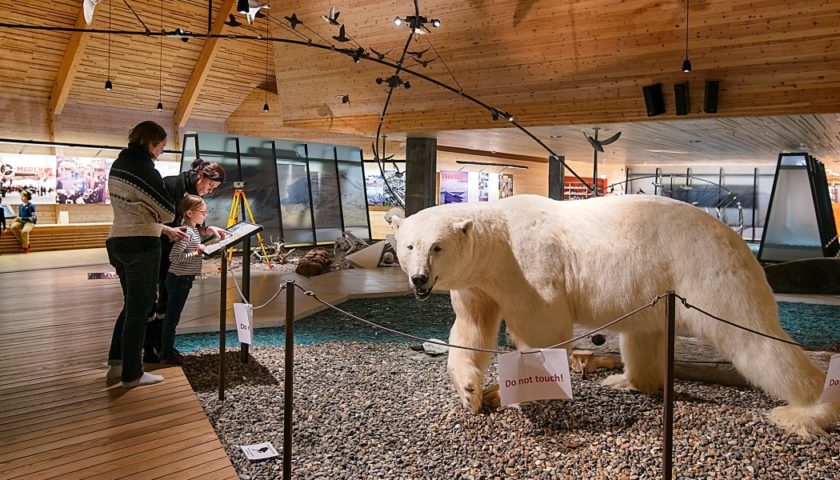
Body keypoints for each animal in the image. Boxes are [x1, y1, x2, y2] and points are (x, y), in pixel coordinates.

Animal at [394, 193, 840, 436]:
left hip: (706, 271)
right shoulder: (478, 284)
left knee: (753, 338)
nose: (419, 280)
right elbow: (471, 329)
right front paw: (470, 392)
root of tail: (738, 241)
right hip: (657, 288)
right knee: (643, 336)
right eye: (409, 246)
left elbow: (545, 330)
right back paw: (627, 380)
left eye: (437, 247)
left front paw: (509, 391)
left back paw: (806, 410)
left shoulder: (528, 267)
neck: (499, 239)